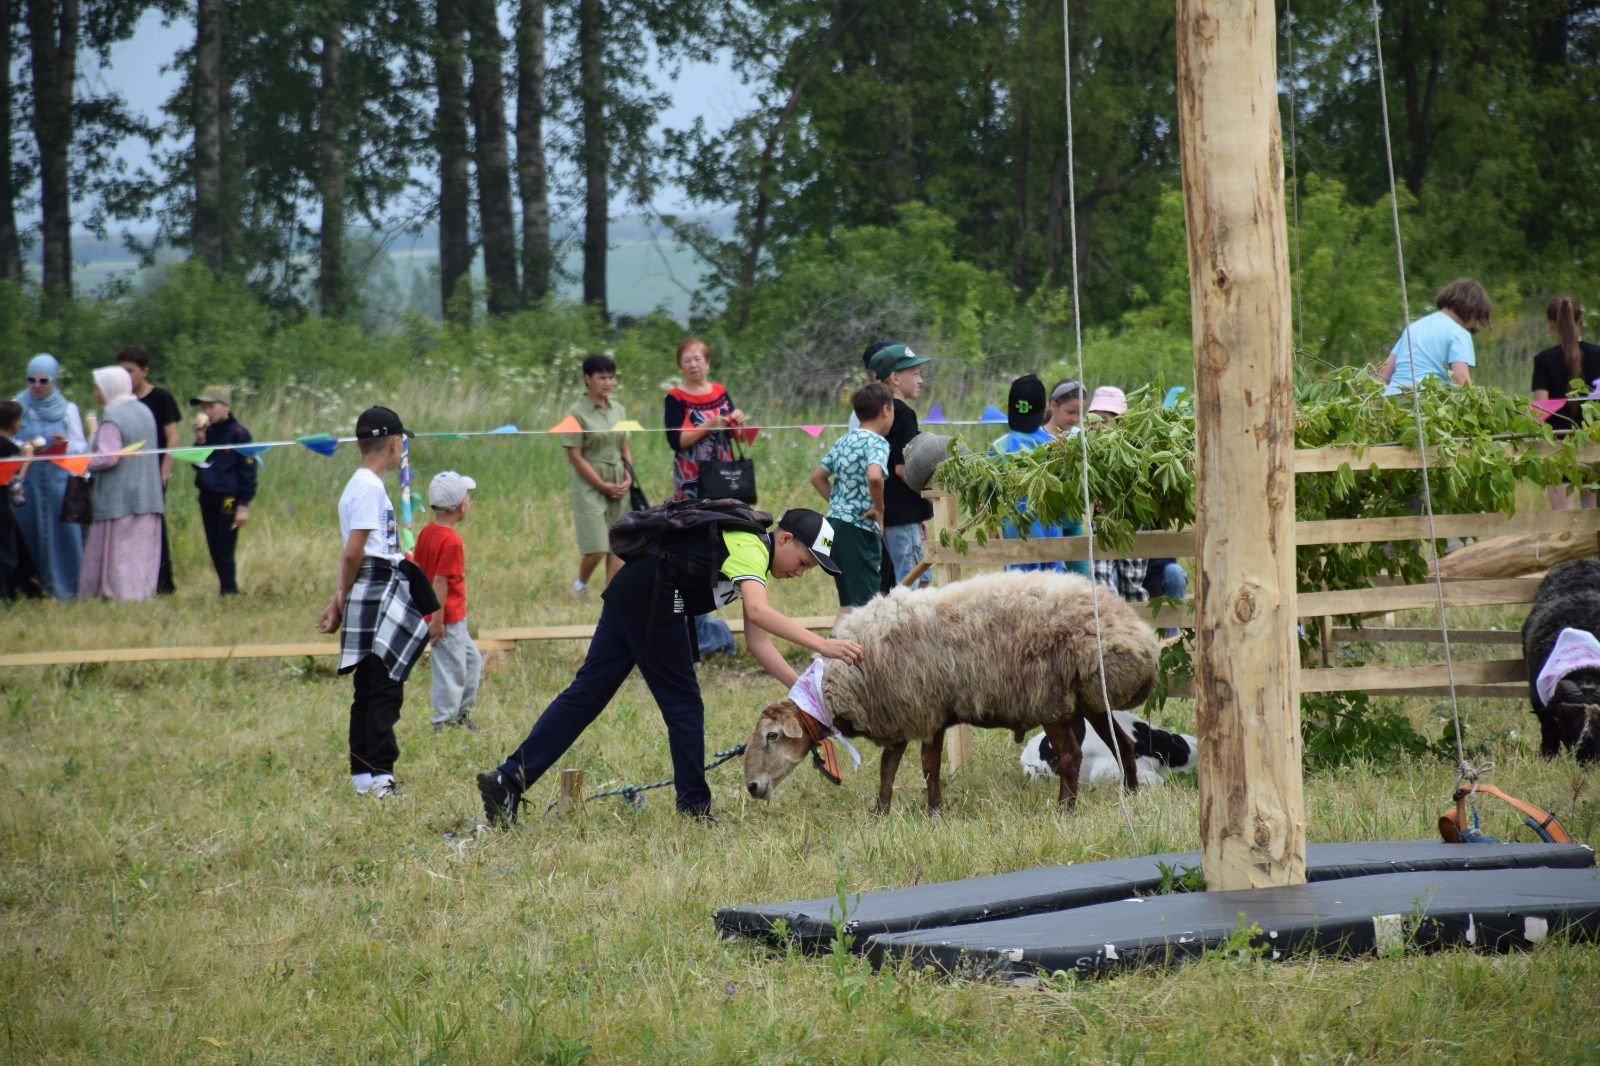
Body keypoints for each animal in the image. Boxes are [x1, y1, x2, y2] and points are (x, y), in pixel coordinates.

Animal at [742, 569, 1158, 809]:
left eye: (772, 735)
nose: (752, 787)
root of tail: (1135, 634)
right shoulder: (902, 714)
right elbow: (889, 767)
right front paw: (881, 812)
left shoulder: (924, 711)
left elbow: (927, 766)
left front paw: (933, 811)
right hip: (1090, 699)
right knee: (1123, 742)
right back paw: (1132, 794)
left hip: (1049, 698)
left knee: (1071, 755)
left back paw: (1064, 810)